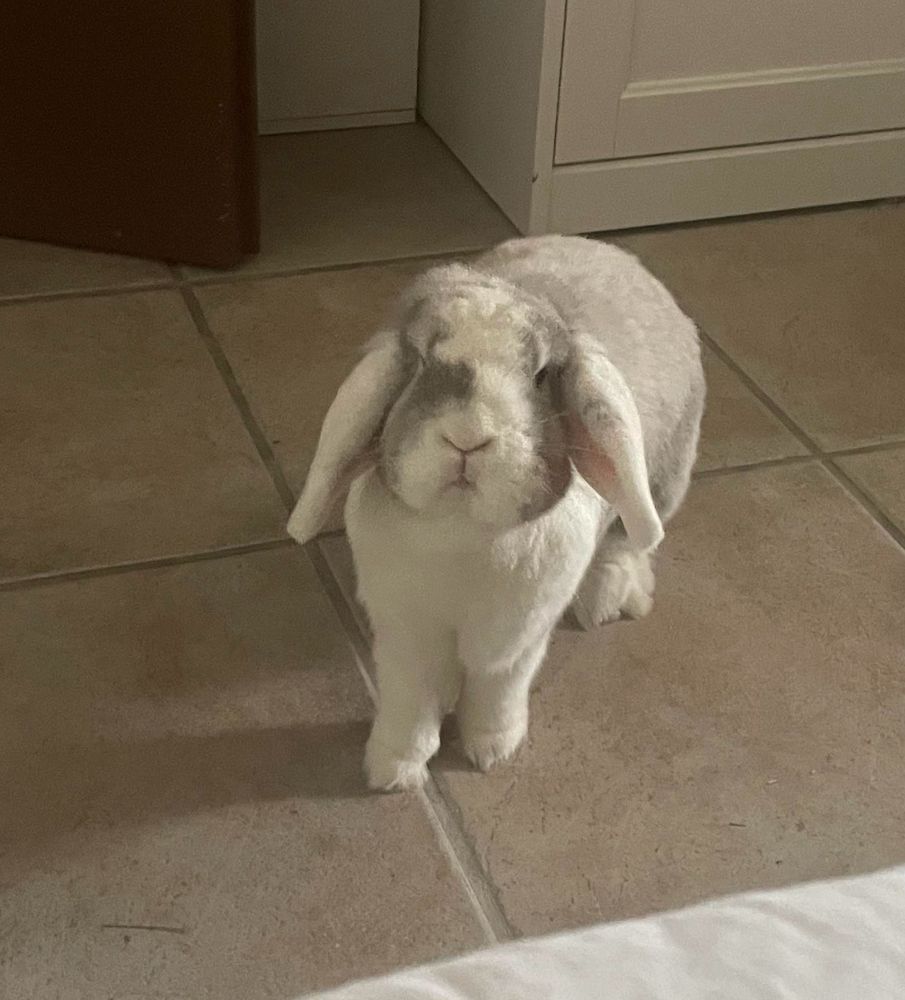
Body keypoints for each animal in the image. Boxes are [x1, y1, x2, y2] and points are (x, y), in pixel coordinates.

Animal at [288, 235, 705, 791]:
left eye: (541, 375)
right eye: (420, 362)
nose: (468, 436)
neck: (461, 529)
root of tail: (614, 254)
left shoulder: (517, 635)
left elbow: (496, 688)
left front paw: (490, 751)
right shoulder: (406, 633)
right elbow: (411, 699)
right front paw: (394, 771)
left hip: (661, 482)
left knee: (626, 542)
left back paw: (606, 600)